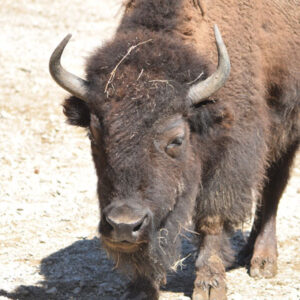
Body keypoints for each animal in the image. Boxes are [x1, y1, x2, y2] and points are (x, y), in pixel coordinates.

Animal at [49, 1, 300, 298]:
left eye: (176, 139)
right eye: (94, 135)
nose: (124, 225)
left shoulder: (231, 156)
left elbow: (212, 218)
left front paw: (209, 285)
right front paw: (141, 288)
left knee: (273, 187)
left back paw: (262, 261)